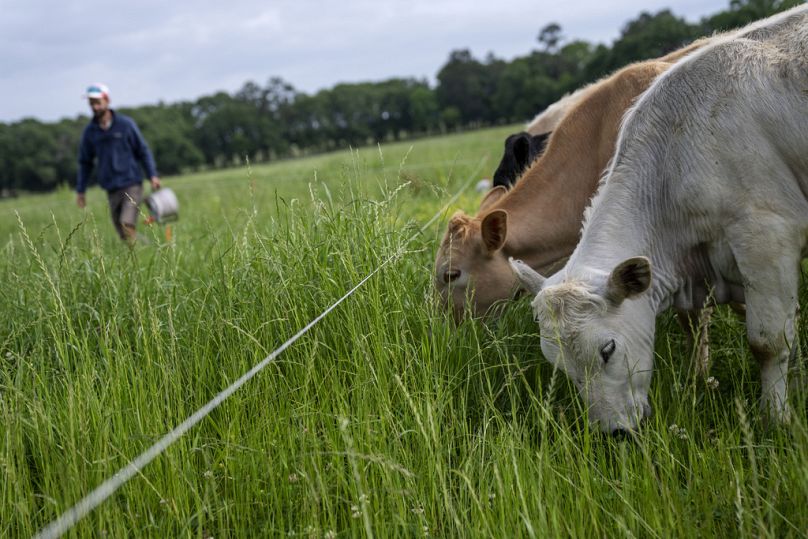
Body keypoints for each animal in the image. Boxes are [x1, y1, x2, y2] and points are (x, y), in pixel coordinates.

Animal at [512, 4, 808, 434]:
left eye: (607, 349)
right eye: (559, 366)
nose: (614, 434)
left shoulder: (766, 239)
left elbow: (768, 342)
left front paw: (777, 420)